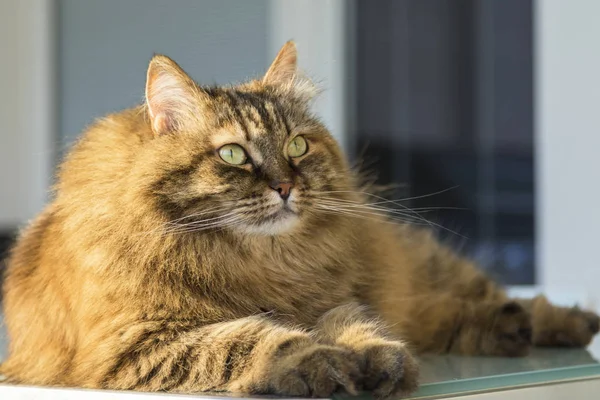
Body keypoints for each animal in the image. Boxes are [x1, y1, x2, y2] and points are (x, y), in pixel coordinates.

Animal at [1, 42, 600, 398]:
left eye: (296, 145)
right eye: (233, 155)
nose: (285, 186)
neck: (261, 262)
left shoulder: (336, 299)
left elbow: (360, 327)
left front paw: (377, 360)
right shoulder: (133, 346)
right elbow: (257, 340)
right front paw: (325, 365)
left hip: (433, 269)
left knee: (494, 301)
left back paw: (555, 323)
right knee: (454, 318)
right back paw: (509, 330)